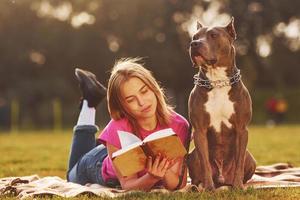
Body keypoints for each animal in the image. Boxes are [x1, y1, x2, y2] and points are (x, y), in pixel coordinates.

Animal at [188, 16, 255, 189]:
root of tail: (222, 178)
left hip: (251, 159)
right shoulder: (199, 131)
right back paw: (197, 187)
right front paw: (208, 188)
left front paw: (238, 187)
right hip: (191, 156)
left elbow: (239, 162)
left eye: (213, 35)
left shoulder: (241, 129)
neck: (217, 80)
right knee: (197, 172)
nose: (194, 44)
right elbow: (204, 163)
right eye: (194, 37)